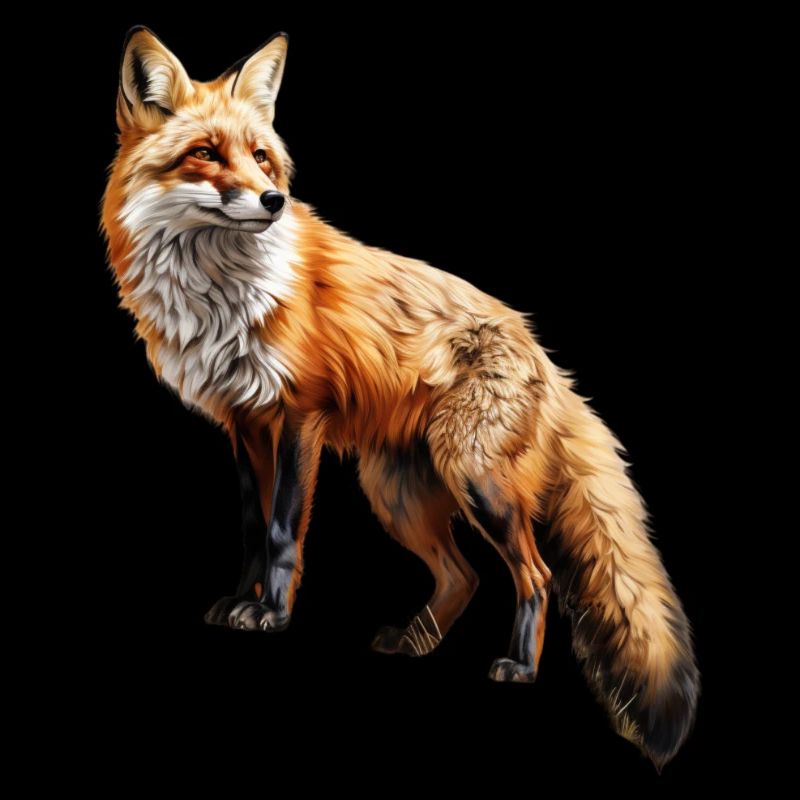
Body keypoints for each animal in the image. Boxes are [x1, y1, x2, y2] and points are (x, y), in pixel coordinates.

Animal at [102, 27, 699, 767]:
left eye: (263, 158)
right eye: (205, 154)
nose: (272, 201)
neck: (219, 294)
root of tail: (544, 354)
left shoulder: (300, 415)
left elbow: (281, 531)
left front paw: (271, 614)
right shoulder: (243, 424)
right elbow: (249, 528)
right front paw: (240, 602)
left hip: (475, 482)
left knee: (535, 576)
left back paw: (518, 667)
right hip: (398, 495)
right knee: (463, 577)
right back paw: (414, 642)